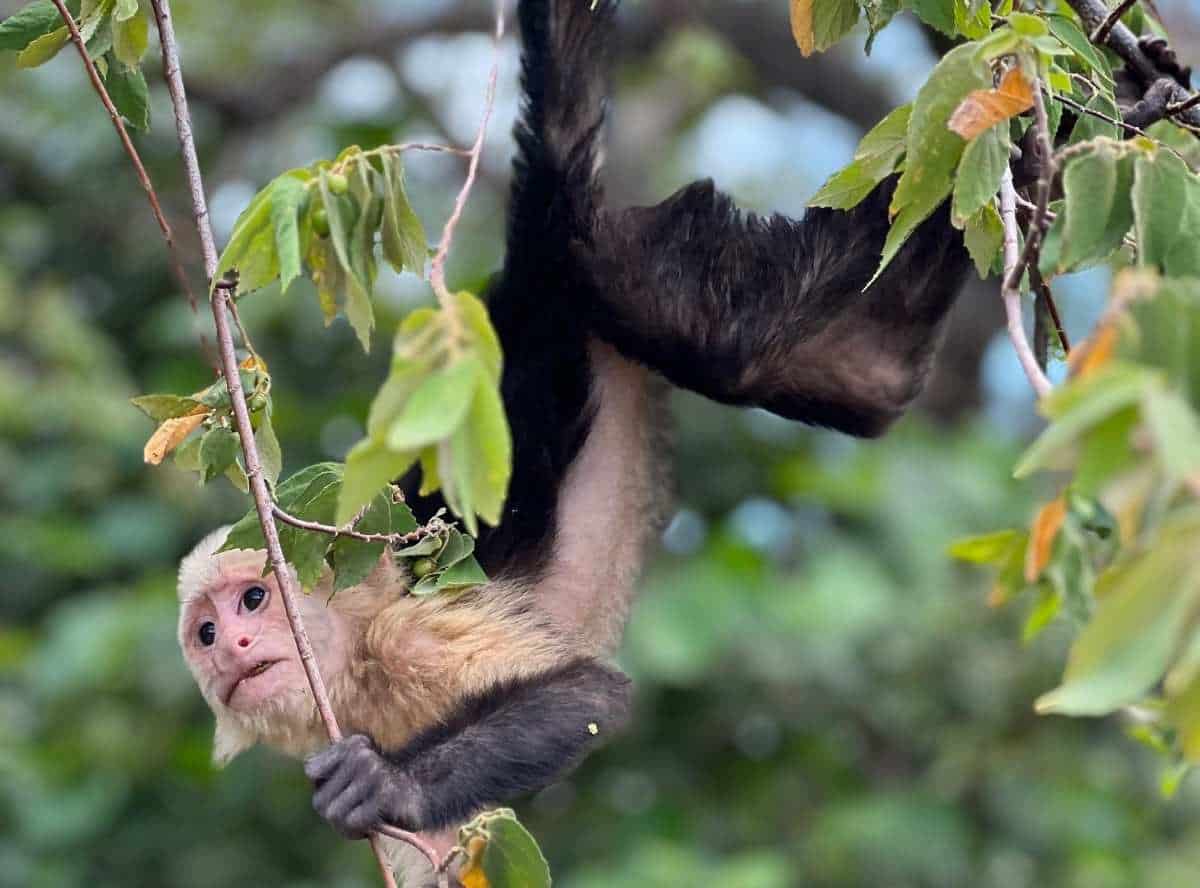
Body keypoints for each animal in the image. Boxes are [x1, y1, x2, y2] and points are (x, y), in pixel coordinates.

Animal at [177, 0, 969, 878]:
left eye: (254, 600)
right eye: (206, 635)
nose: (235, 643)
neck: (348, 663)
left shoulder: (404, 639)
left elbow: (587, 695)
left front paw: (386, 787)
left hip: (594, 263)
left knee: (710, 332)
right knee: (860, 380)